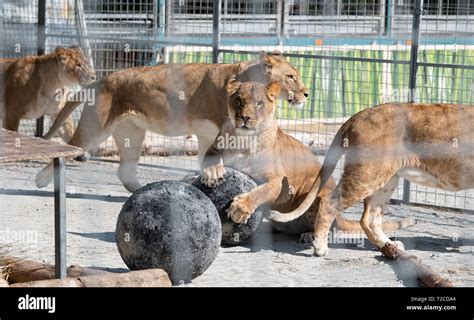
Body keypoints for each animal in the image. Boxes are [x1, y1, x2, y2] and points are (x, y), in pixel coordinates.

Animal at [38, 50, 312, 192]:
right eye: (291, 76)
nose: (307, 93)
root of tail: (100, 81)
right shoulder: (215, 131)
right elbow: (210, 159)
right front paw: (210, 176)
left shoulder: (205, 134)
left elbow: (204, 158)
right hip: (95, 129)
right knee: (72, 147)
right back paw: (41, 179)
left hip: (131, 133)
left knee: (125, 171)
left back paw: (144, 190)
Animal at [200, 80, 414, 232]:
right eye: (239, 100)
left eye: (259, 103)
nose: (245, 118)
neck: (244, 141)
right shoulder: (214, 147)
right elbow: (209, 157)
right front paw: (212, 172)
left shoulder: (277, 180)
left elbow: (261, 191)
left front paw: (240, 208)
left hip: (318, 192)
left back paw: (307, 234)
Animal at [266, 102, 474, 258]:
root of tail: (356, 116)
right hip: (367, 174)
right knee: (329, 203)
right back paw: (320, 248)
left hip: (385, 179)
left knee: (369, 219)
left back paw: (390, 246)